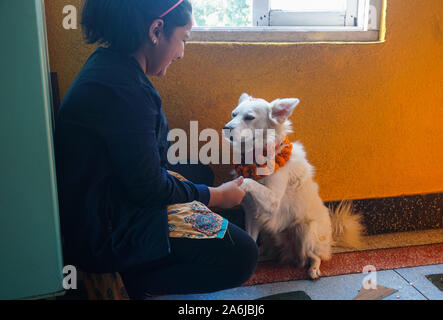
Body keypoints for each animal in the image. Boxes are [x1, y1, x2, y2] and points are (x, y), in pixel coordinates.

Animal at [224, 92, 366, 278]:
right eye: (233, 114)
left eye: (249, 117)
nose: (226, 128)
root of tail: (330, 236)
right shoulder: (252, 213)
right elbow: (251, 240)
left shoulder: (273, 201)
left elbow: (248, 181)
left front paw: (235, 185)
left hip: (307, 233)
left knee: (314, 255)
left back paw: (314, 269)